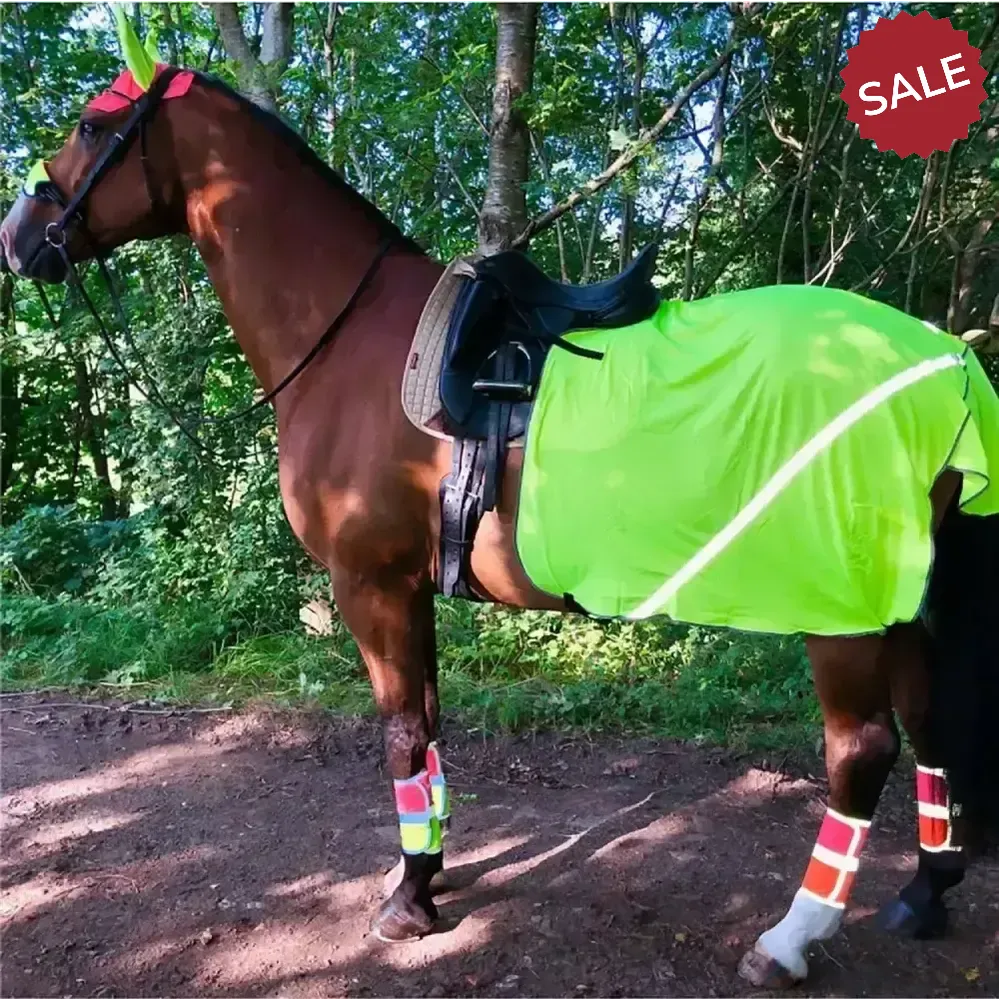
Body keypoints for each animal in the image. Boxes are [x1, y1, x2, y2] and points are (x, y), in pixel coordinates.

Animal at [3, 49, 998, 989]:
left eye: (91, 127)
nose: (18, 236)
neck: (345, 337)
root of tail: (944, 362)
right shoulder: (410, 586)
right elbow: (430, 726)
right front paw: (430, 869)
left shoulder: (368, 584)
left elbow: (401, 734)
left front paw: (408, 899)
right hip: (899, 599)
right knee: (928, 724)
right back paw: (924, 891)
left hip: (841, 607)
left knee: (861, 751)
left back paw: (789, 938)